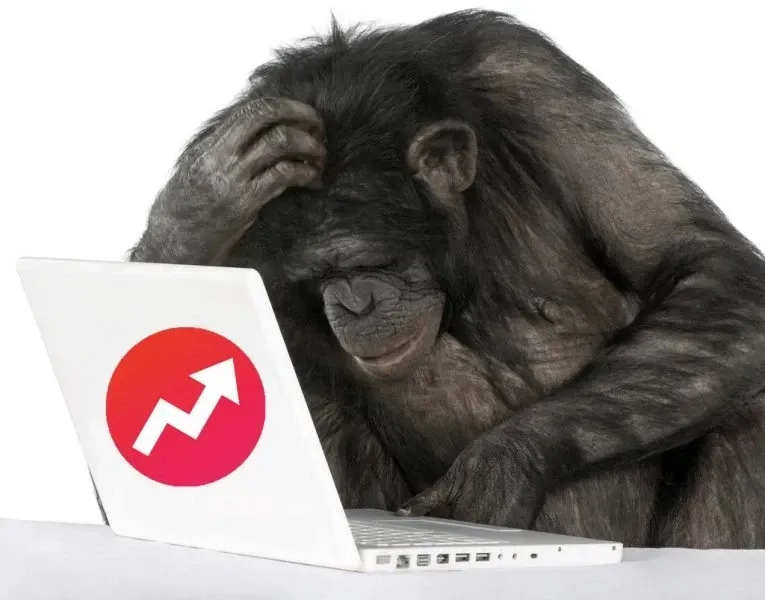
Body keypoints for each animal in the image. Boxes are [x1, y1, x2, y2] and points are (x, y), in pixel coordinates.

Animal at [128, 10, 765, 548]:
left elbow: (703, 261)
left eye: (372, 263)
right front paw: (197, 204)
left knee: (741, 407)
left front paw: (501, 466)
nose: (354, 305)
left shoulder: (538, 85)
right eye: (319, 274)